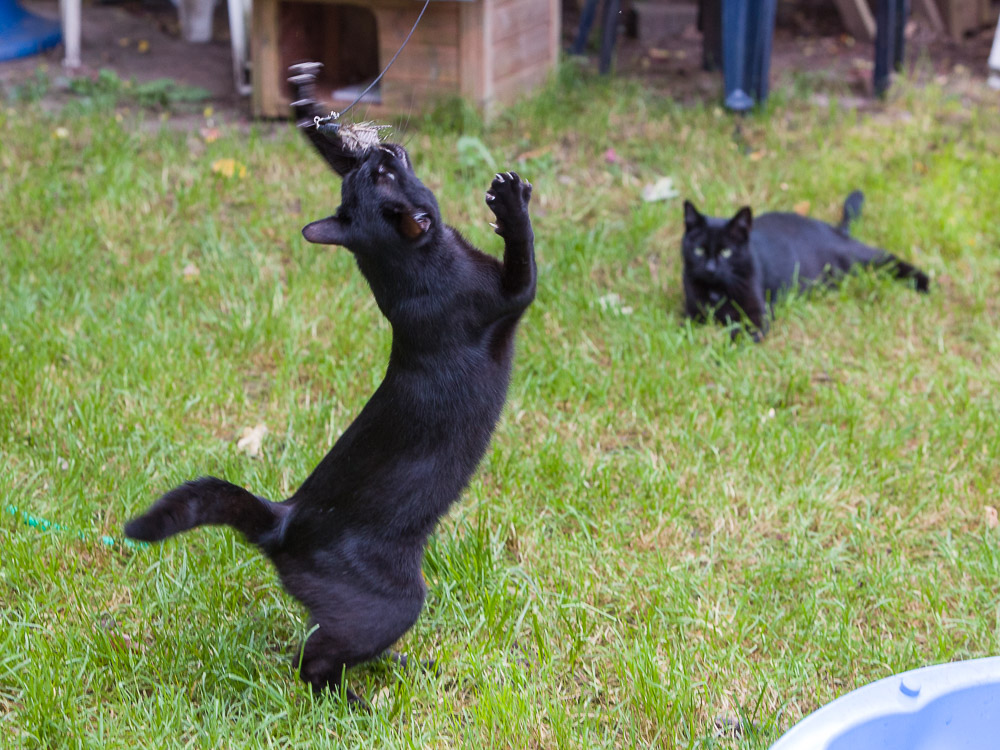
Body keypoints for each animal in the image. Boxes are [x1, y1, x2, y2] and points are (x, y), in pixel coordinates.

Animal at [126, 64, 540, 704]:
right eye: (386, 174)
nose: (385, 150)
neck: (404, 276)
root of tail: (282, 520)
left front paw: (303, 100)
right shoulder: (509, 296)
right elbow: (524, 255)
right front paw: (510, 202)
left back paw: (390, 667)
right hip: (392, 604)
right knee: (312, 662)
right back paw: (355, 702)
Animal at [680, 189, 928, 342]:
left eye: (726, 252)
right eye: (699, 250)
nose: (710, 268)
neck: (716, 291)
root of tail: (832, 228)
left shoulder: (758, 313)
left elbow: (743, 334)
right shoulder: (691, 314)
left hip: (854, 258)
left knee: (885, 257)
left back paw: (923, 283)